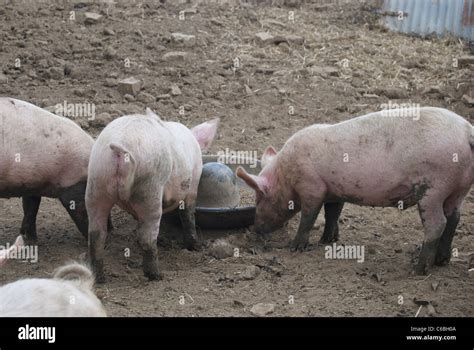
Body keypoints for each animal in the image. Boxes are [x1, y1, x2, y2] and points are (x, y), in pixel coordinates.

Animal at [86, 108, 219, 284]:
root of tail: (121, 150)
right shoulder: (193, 183)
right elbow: (188, 214)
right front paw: (196, 246)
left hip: (96, 182)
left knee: (96, 235)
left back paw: (99, 278)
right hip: (149, 187)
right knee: (148, 236)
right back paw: (156, 276)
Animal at [239, 106, 472, 274]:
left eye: (259, 197)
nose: (255, 228)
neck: (285, 173)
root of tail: (467, 131)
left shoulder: (312, 186)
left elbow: (308, 217)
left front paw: (295, 248)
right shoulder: (333, 190)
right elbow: (333, 213)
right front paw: (327, 240)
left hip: (432, 188)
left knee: (437, 223)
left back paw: (417, 269)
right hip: (458, 190)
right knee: (453, 218)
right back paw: (442, 261)